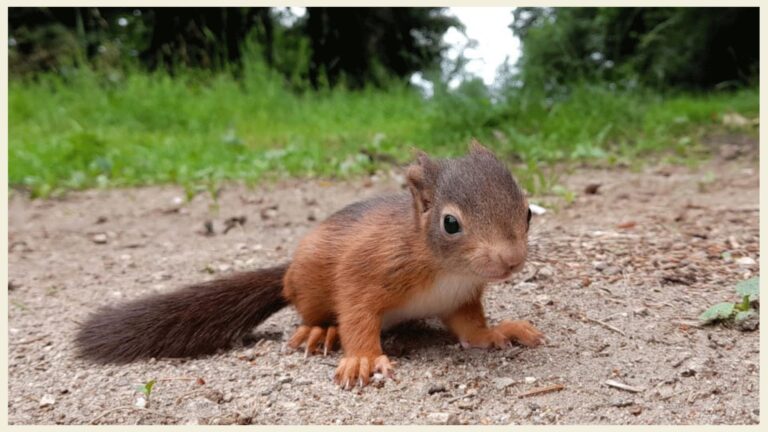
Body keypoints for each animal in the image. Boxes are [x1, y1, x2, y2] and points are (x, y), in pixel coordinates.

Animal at [75, 140, 544, 389]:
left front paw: (498, 332)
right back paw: (320, 331)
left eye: (527, 212)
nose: (511, 260)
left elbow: (471, 329)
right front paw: (362, 359)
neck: (447, 271)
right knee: (314, 312)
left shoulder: (460, 298)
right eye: (450, 223)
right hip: (311, 285)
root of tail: (287, 273)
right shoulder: (368, 269)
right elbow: (357, 314)